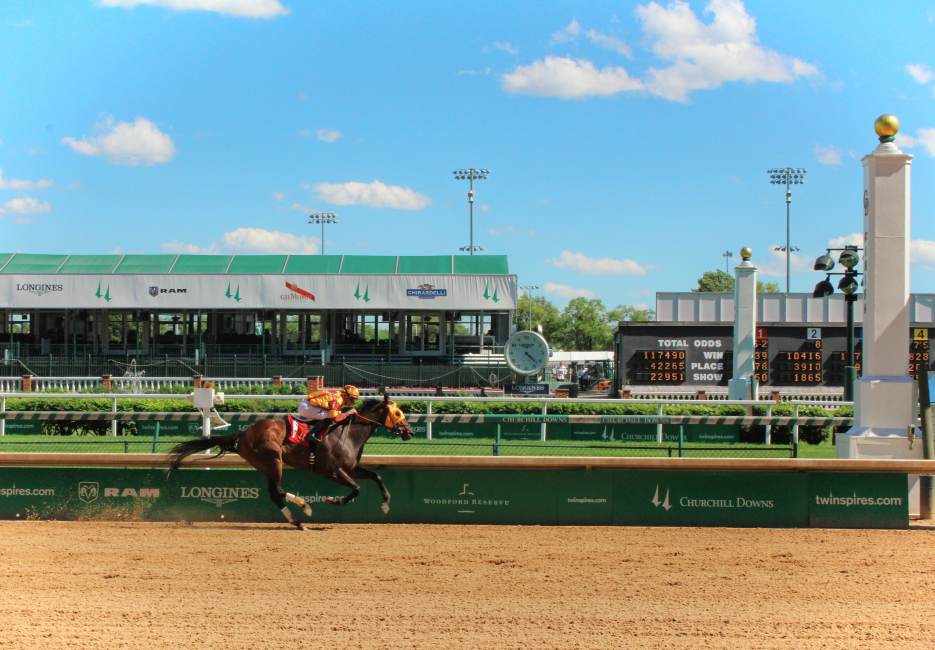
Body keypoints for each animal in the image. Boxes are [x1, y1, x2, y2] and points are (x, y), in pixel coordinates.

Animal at [167, 394, 414, 528]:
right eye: (398, 413)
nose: (409, 431)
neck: (349, 433)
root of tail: (244, 432)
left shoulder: (351, 468)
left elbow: (376, 475)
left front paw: (385, 504)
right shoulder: (333, 471)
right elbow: (356, 489)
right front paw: (334, 500)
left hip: (265, 464)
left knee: (274, 493)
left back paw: (296, 521)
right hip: (273, 459)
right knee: (278, 489)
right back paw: (305, 507)